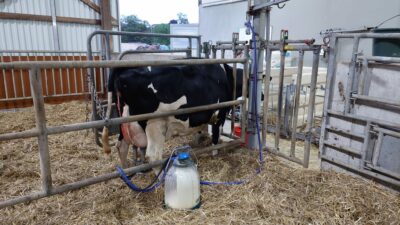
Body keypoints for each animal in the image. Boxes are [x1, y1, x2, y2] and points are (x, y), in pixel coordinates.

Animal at [101, 63, 244, 171]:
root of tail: (124, 68)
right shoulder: (219, 114)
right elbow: (215, 137)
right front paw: (215, 153)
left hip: (124, 120)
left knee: (121, 146)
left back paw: (127, 170)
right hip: (155, 124)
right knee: (153, 156)